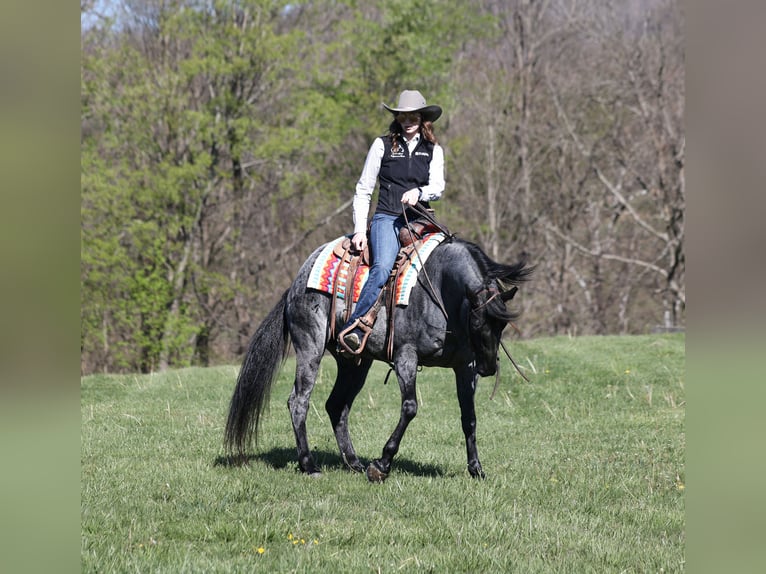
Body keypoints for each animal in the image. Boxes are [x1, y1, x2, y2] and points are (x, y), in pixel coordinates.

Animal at [224, 235, 532, 482]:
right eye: (477, 322)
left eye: (502, 326)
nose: (488, 368)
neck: (439, 288)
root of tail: (295, 285)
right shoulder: (406, 357)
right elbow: (410, 408)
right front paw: (382, 465)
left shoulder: (464, 367)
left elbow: (469, 417)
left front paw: (476, 469)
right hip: (310, 348)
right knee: (299, 402)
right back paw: (309, 465)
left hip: (354, 362)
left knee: (336, 405)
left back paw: (353, 463)